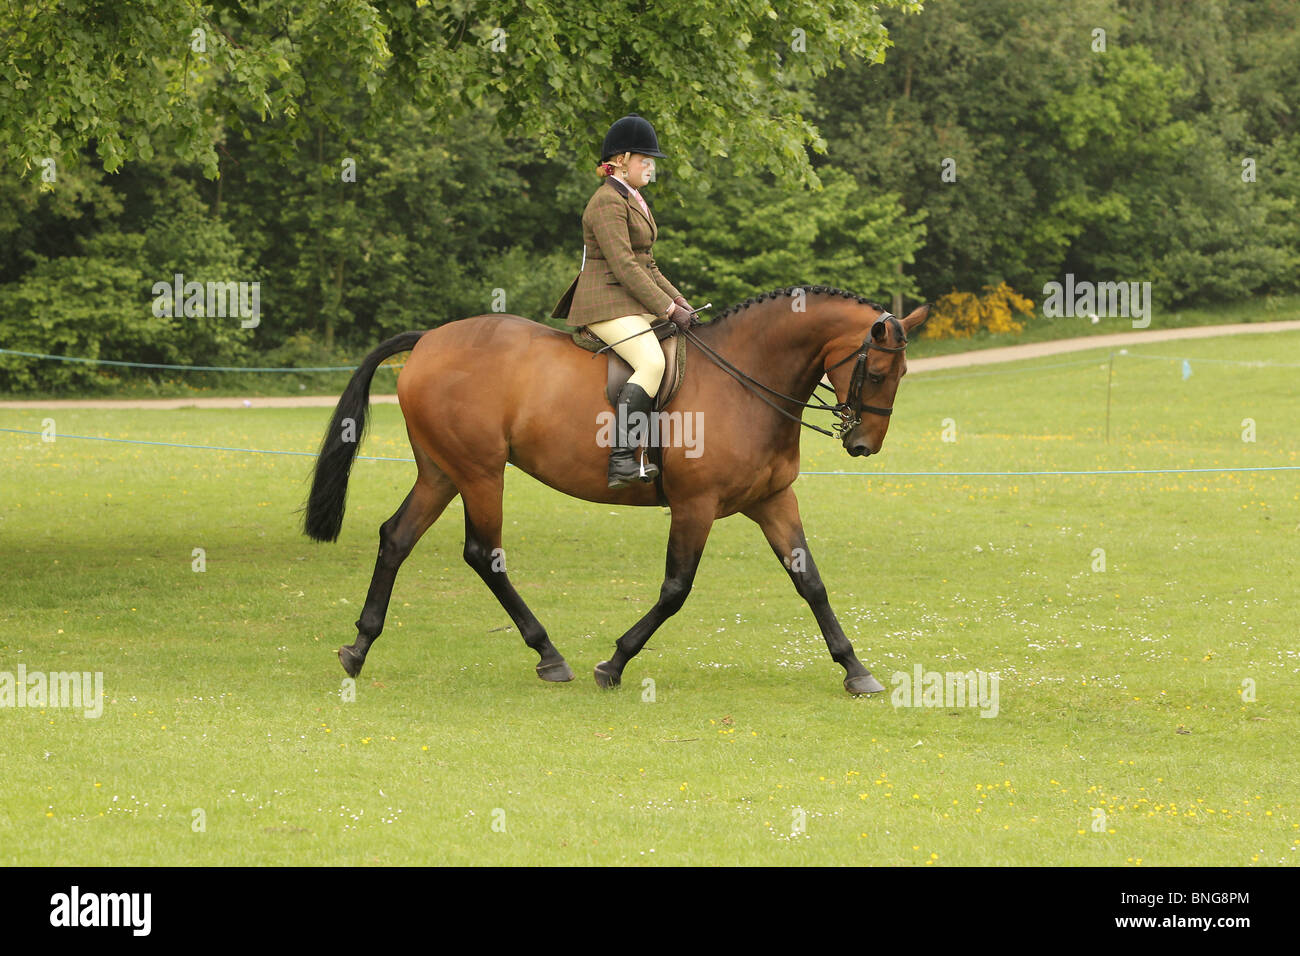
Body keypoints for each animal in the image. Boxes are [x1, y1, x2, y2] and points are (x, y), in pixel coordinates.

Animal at [301, 283, 935, 697]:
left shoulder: (773, 501)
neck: (746, 380)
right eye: (879, 372)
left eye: (902, 375)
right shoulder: (695, 506)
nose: (863, 445)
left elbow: (812, 583)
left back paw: (358, 648)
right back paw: (550, 655)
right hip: (481, 473)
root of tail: (430, 339)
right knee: (483, 554)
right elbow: (676, 589)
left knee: (396, 538)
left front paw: (855, 669)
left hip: (442, 472)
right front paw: (615, 663)